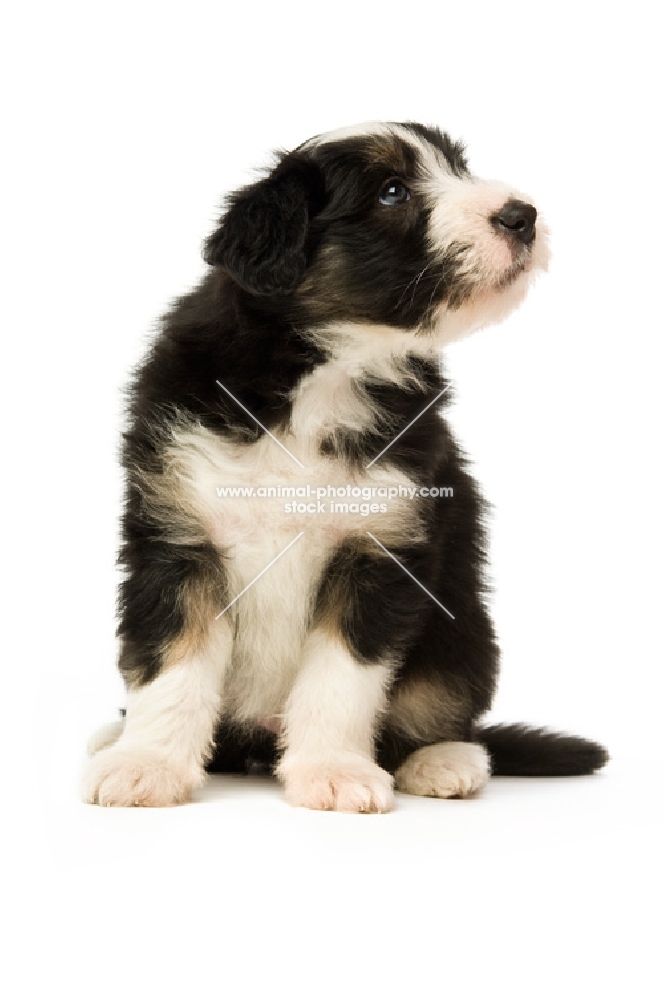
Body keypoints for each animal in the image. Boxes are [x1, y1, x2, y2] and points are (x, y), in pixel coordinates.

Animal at [81, 123, 608, 812]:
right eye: (392, 191)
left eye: (458, 167)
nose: (522, 216)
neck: (328, 369)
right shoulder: (181, 539)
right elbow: (173, 664)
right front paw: (147, 764)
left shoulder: (378, 549)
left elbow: (341, 675)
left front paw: (332, 770)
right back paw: (113, 737)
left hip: (462, 631)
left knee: (441, 712)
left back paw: (445, 761)